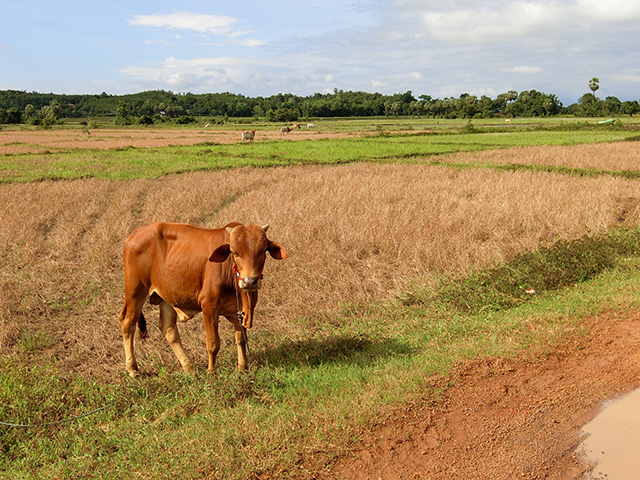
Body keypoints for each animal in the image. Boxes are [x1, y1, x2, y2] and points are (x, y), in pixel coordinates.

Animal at [117, 222, 288, 378]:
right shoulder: (208, 306)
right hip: (135, 291)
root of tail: (137, 232)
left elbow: (241, 339)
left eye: (263, 250)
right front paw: (211, 371)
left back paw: (189, 367)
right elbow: (213, 343)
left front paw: (243, 367)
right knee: (128, 322)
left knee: (168, 328)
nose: (249, 281)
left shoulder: (239, 311)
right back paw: (132, 369)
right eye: (234, 252)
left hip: (167, 296)